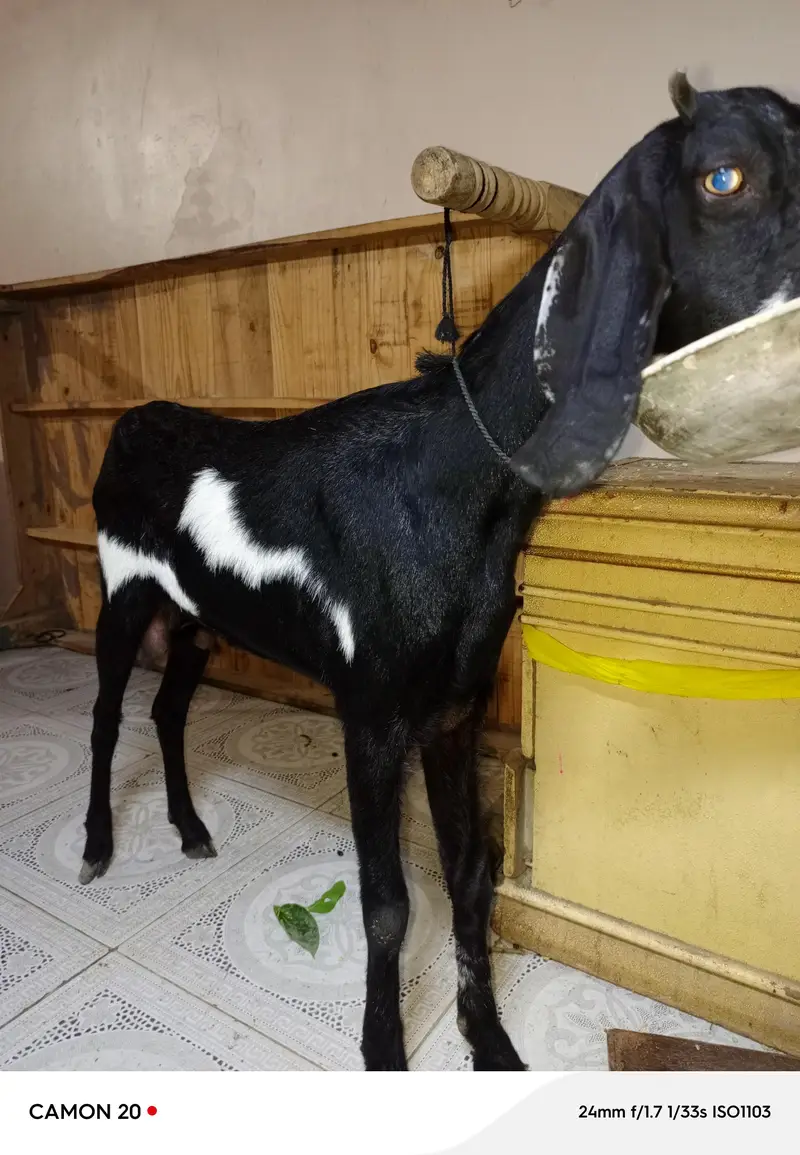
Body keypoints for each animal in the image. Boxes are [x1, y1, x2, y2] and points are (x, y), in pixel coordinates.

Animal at [81, 74, 800, 1070]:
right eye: (721, 176)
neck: (454, 481)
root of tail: (135, 419)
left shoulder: (452, 712)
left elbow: (467, 876)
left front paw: (488, 1035)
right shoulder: (373, 715)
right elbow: (388, 904)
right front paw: (384, 1046)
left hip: (196, 618)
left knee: (167, 709)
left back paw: (190, 829)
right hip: (122, 590)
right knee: (109, 715)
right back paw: (97, 846)